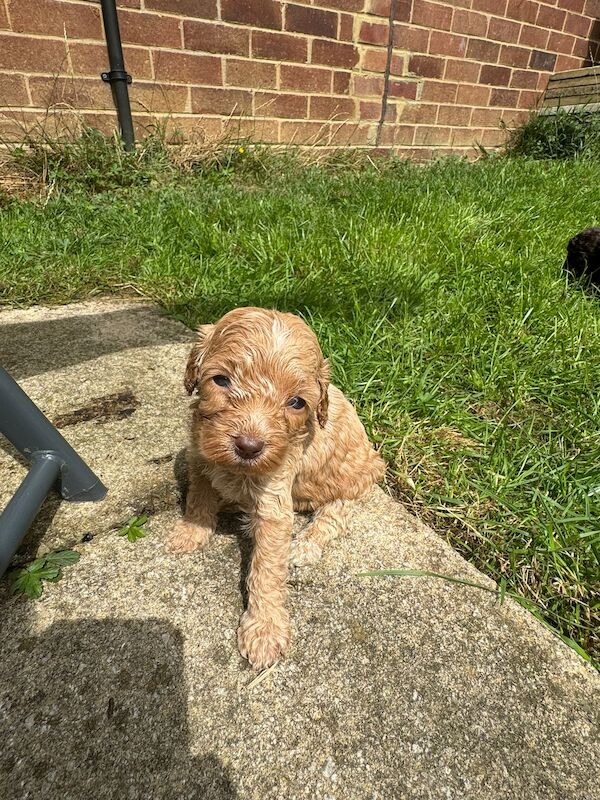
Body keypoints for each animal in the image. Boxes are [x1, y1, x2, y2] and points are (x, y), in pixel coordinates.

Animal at [169, 308, 384, 668]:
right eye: (221, 380)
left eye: (296, 402)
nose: (249, 446)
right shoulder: (200, 456)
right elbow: (199, 496)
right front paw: (192, 530)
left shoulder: (275, 500)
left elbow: (266, 569)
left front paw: (264, 629)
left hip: (352, 481)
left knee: (333, 516)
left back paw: (303, 547)